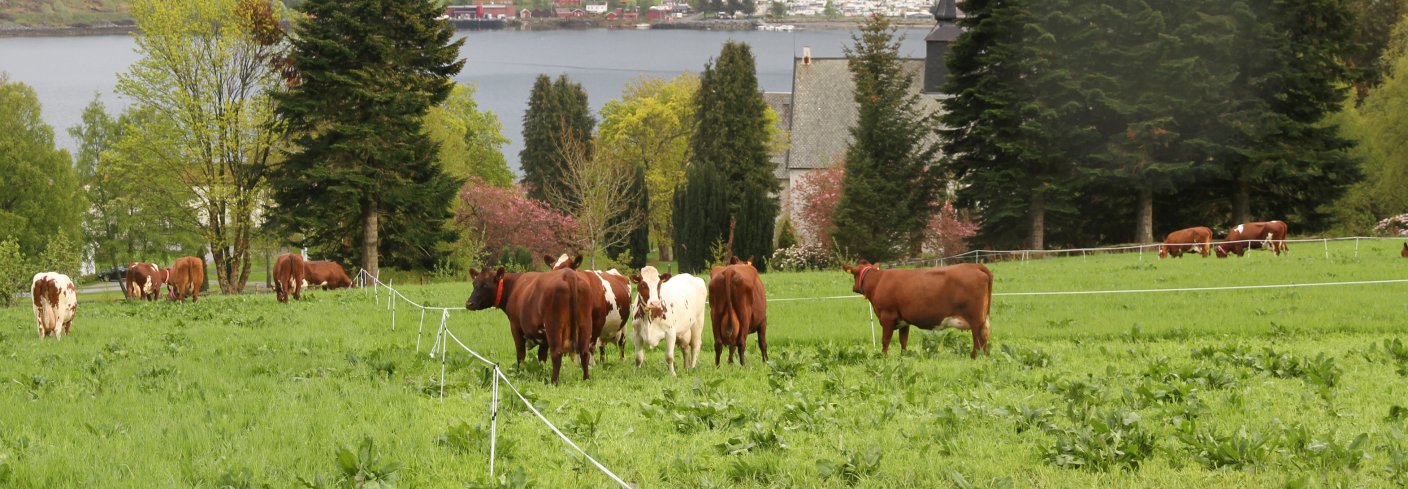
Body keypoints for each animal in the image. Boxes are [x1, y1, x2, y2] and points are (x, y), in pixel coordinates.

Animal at [839, 260, 996, 360]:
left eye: (854, 274)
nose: (854, 287)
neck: (878, 281)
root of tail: (975, 266)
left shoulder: (887, 317)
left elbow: (885, 340)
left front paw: (883, 357)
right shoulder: (903, 321)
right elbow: (903, 340)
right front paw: (903, 356)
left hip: (975, 318)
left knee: (978, 337)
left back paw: (975, 356)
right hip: (983, 317)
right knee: (984, 337)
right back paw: (985, 356)